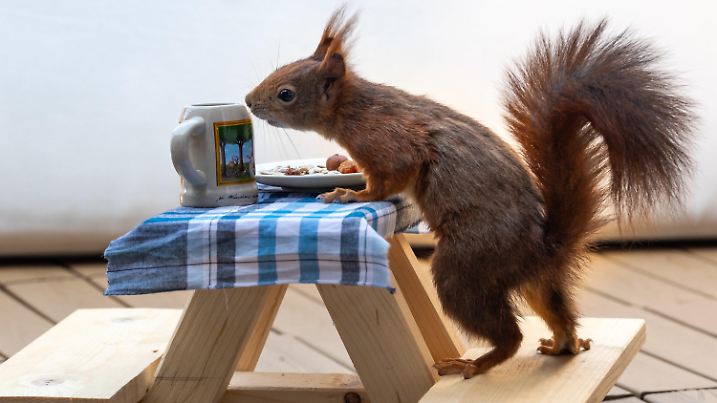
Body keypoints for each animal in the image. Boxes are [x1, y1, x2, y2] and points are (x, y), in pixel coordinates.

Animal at [245, 8, 694, 379]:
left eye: (286, 93)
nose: (249, 101)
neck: (354, 107)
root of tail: (542, 248)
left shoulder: (389, 142)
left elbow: (388, 180)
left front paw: (349, 195)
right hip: (536, 283)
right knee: (556, 310)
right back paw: (564, 343)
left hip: (466, 267)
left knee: (509, 335)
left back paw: (476, 364)